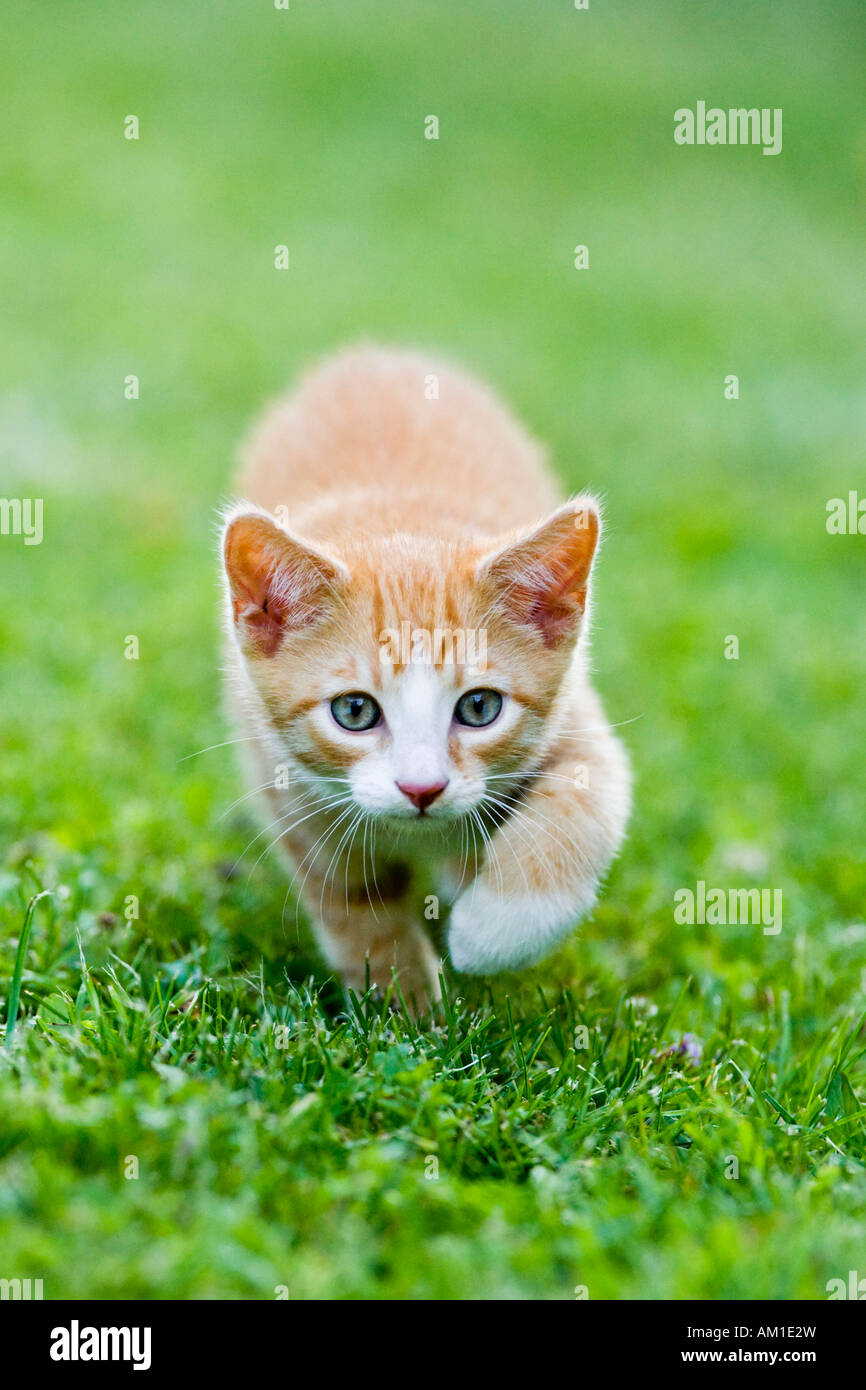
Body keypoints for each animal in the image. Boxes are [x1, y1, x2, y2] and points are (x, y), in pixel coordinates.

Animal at [222, 341, 631, 1006]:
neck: (402, 520)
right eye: (354, 710)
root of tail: (377, 353)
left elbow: (583, 804)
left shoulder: (577, 718)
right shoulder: (280, 775)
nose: (422, 789)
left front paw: (491, 932)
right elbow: (352, 900)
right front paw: (402, 1000)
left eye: (480, 708)